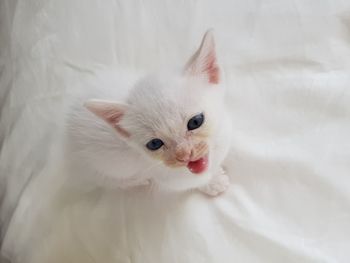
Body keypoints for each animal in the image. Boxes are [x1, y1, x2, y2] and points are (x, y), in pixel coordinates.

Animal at [65, 30, 232, 196]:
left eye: (196, 121)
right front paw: (213, 182)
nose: (185, 154)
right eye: (154, 144)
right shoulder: (169, 178)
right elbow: (195, 181)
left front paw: (216, 173)